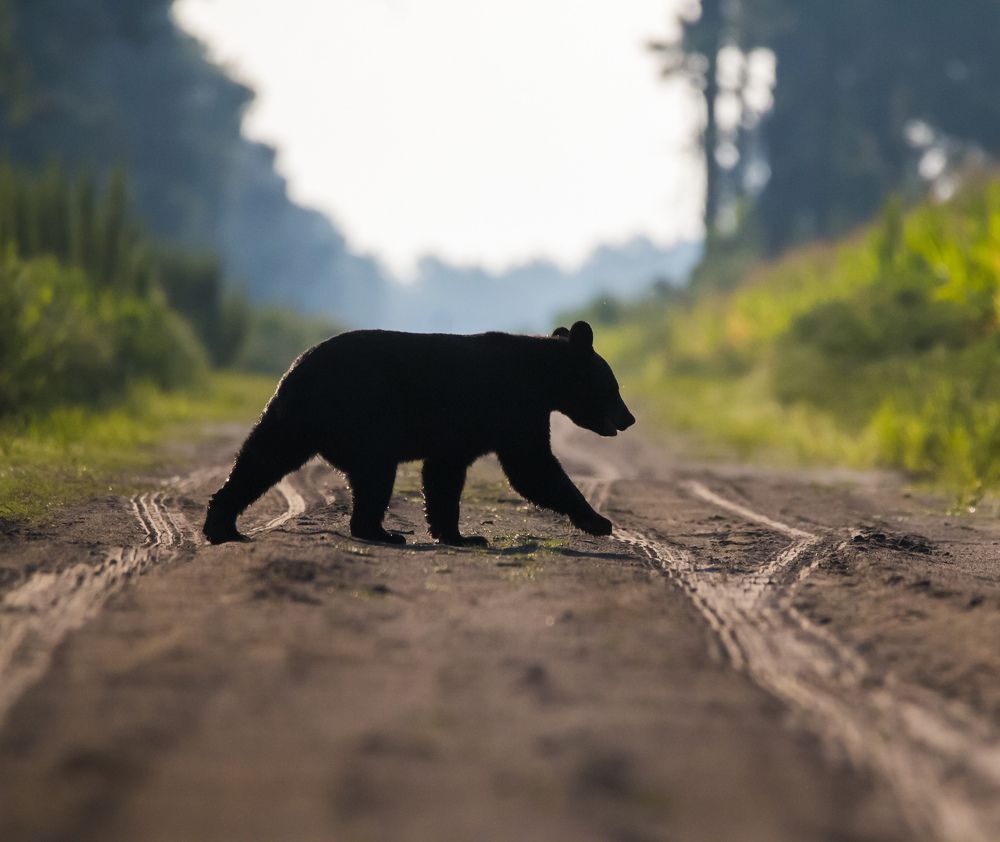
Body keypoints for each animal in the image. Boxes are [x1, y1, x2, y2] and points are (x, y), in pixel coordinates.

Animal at [203, 320, 635, 546]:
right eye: (612, 386)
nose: (628, 418)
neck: (543, 380)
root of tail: (297, 367)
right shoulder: (512, 408)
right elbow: (533, 467)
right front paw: (598, 520)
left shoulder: (463, 432)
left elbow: (446, 475)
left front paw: (456, 534)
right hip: (361, 416)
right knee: (371, 476)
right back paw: (383, 532)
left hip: (298, 418)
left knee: (263, 456)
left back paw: (222, 525)